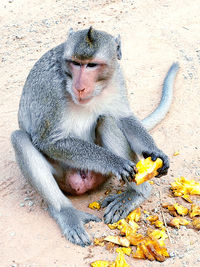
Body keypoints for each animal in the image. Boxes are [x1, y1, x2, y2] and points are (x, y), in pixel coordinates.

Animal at [11, 26, 180, 247]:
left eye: (92, 65)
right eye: (75, 63)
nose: (79, 86)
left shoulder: (117, 76)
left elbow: (124, 117)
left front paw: (155, 152)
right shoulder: (51, 90)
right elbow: (47, 140)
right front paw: (114, 162)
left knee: (107, 119)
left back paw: (135, 194)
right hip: (63, 178)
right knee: (19, 138)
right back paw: (66, 212)